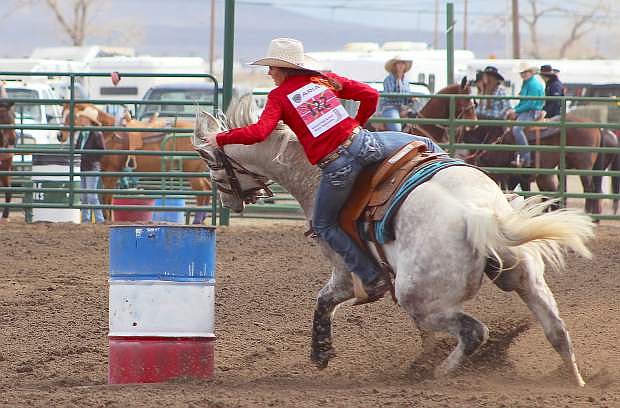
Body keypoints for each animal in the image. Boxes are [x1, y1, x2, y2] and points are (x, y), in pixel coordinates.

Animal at [58, 103, 213, 223]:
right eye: (62, 114)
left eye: (71, 116)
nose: (60, 136)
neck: (109, 133)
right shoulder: (108, 172)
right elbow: (108, 196)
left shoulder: (110, 172)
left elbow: (106, 196)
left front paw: (107, 219)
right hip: (198, 171)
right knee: (207, 188)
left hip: (192, 172)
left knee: (202, 191)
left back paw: (197, 221)